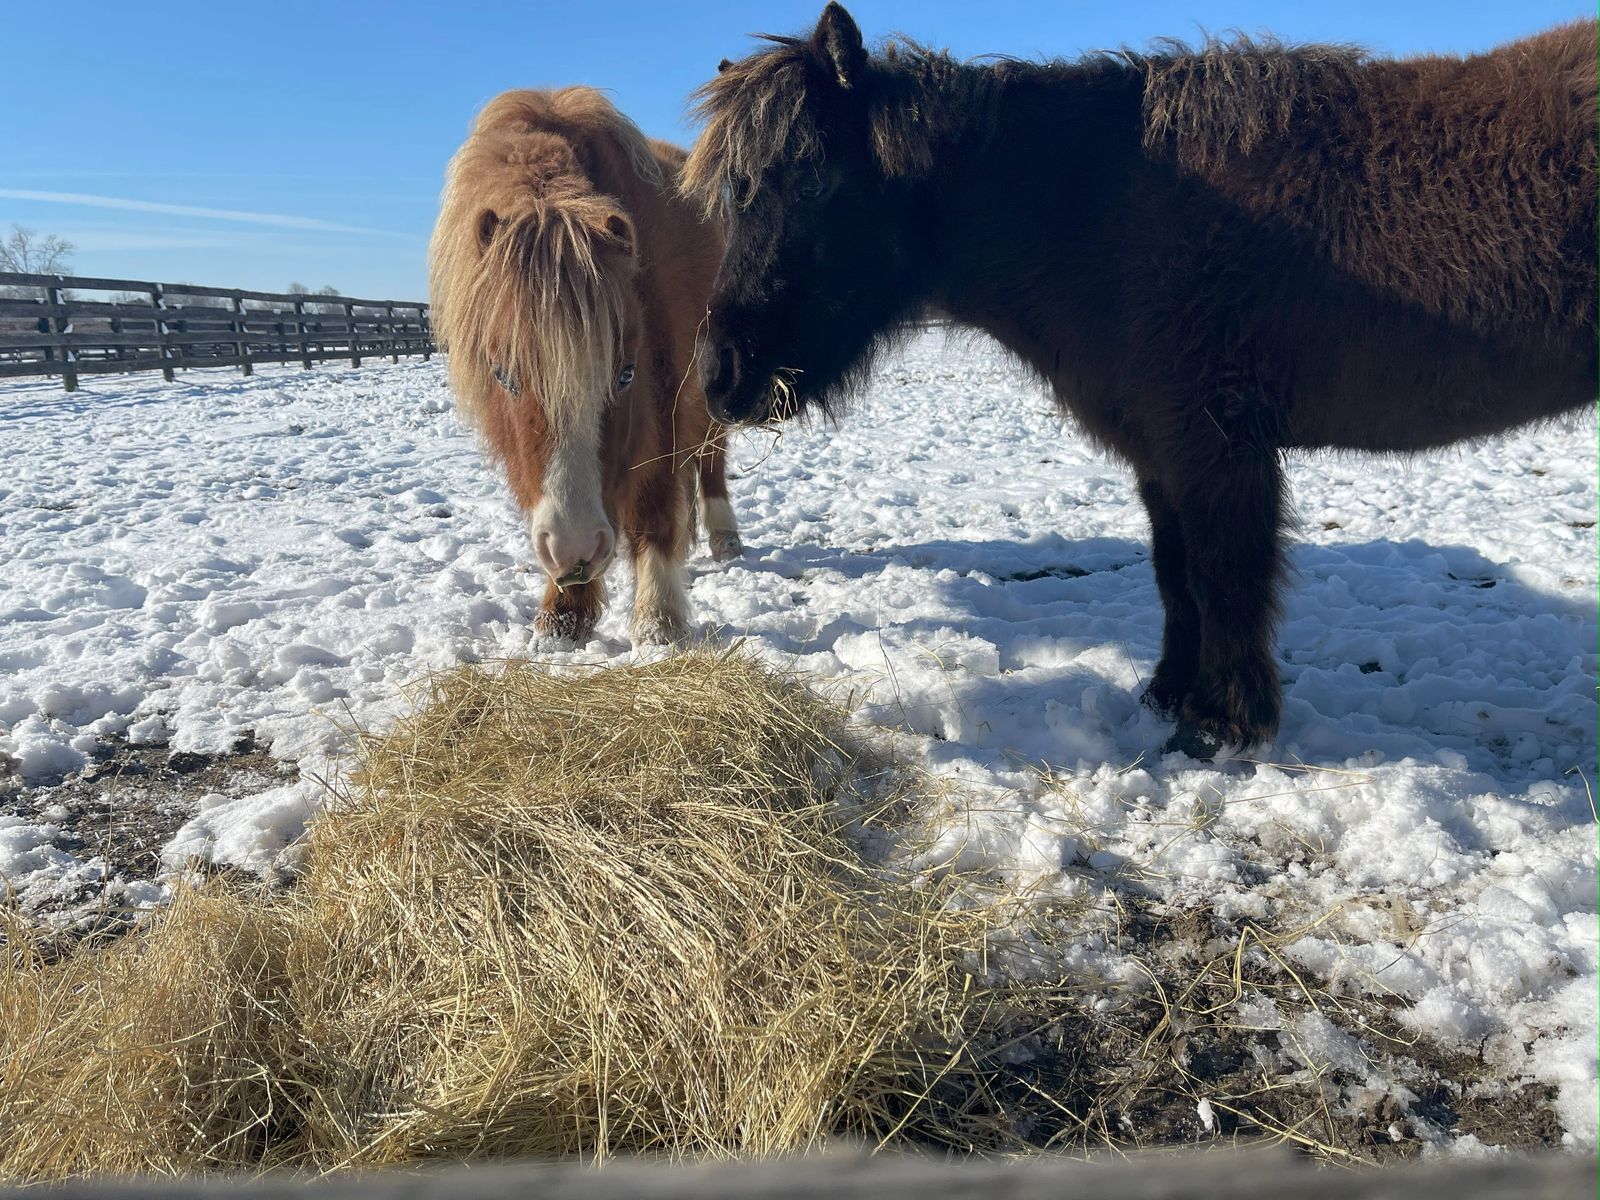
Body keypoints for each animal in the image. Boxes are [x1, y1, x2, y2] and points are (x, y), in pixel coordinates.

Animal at [430, 87, 742, 647]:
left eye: (625, 373)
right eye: (503, 376)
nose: (575, 551)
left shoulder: (664, 387)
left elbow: (655, 496)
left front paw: (658, 618)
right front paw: (564, 613)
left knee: (708, 454)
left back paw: (723, 535)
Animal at [683, 4, 1597, 756]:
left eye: (812, 179)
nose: (721, 377)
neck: (1103, 211)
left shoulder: (1217, 450)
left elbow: (1223, 576)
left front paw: (1222, 724)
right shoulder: (1163, 453)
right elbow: (1175, 574)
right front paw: (1170, 694)